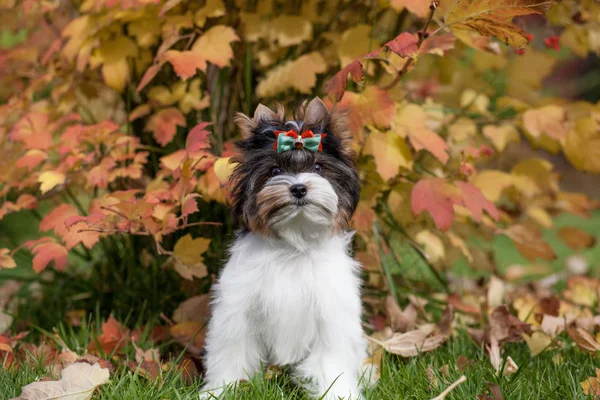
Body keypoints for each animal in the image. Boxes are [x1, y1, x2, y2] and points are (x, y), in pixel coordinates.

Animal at [203, 97, 366, 400]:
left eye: (318, 168)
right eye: (275, 171)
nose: (299, 188)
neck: (293, 245)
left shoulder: (331, 312)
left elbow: (331, 358)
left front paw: (338, 392)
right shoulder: (239, 308)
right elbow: (233, 348)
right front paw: (220, 389)